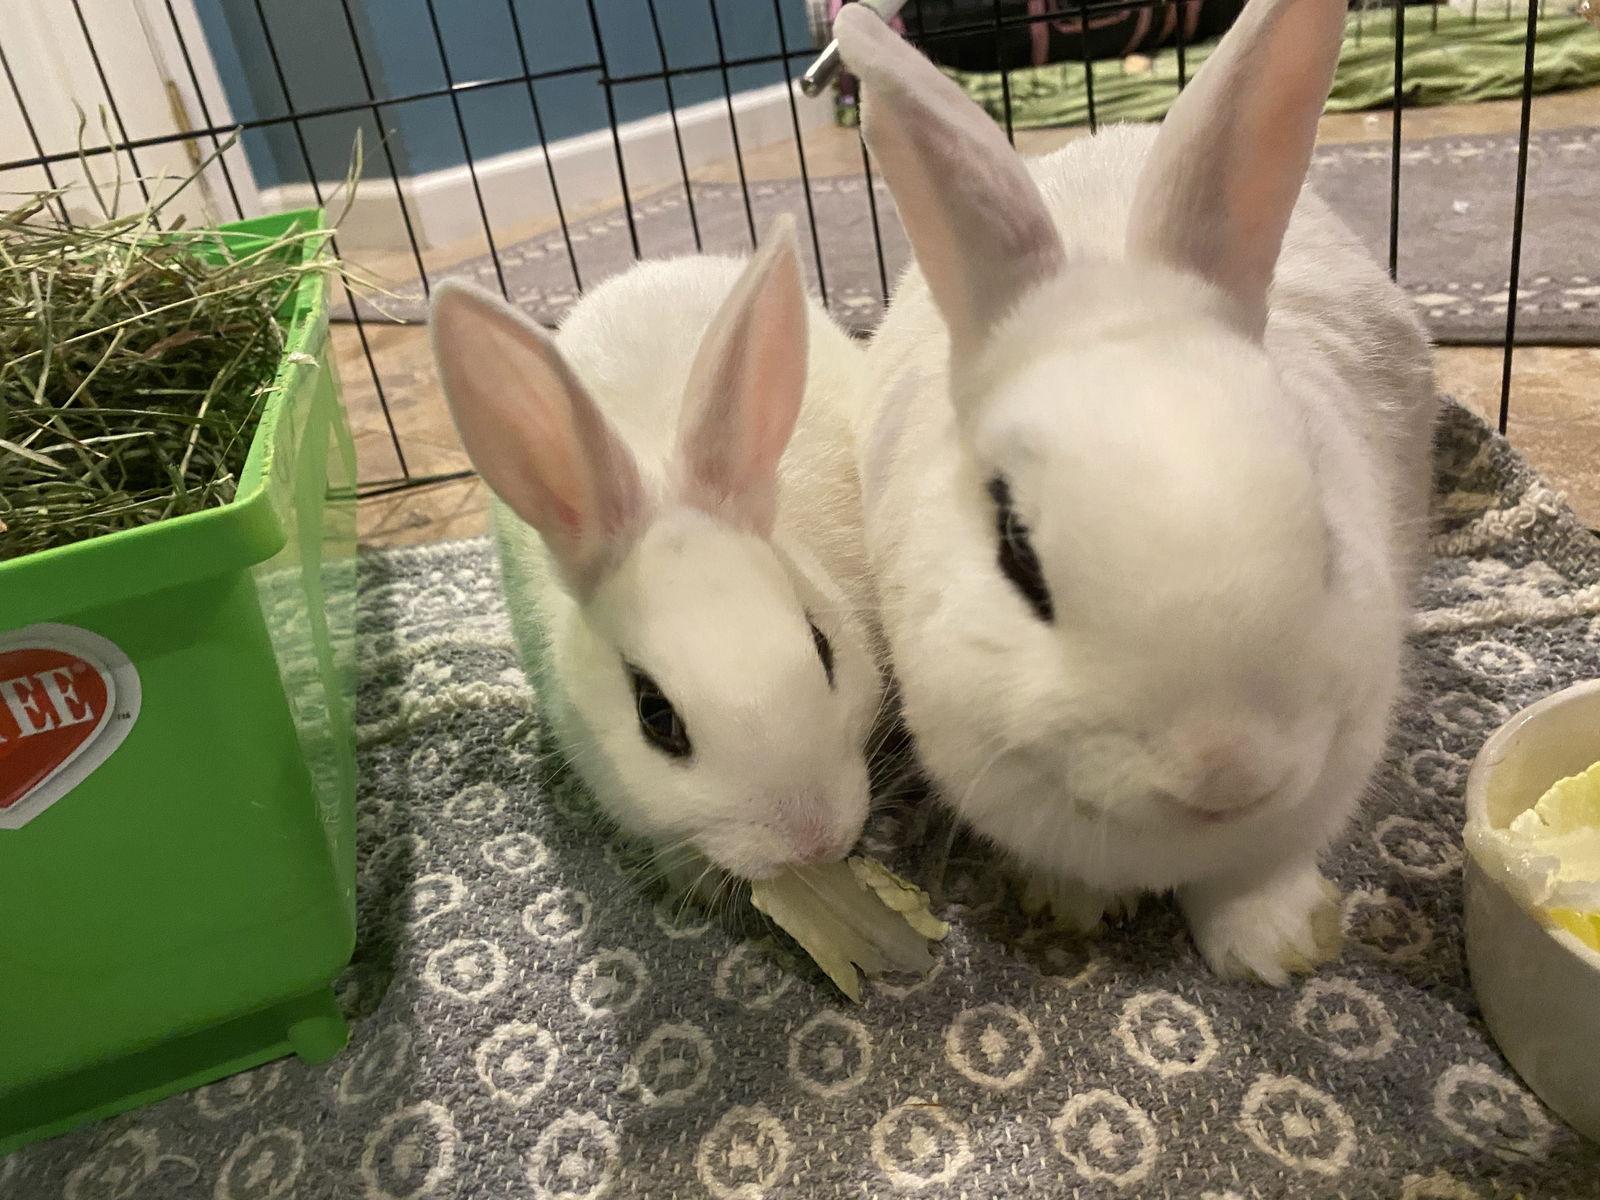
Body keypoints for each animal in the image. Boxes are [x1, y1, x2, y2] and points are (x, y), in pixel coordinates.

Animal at [834, 0, 1438, 983]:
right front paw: (1067, 910)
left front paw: (1276, 951)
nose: (1226, 768)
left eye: (1325, 536)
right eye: (1017, 557)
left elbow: (1256, 874)